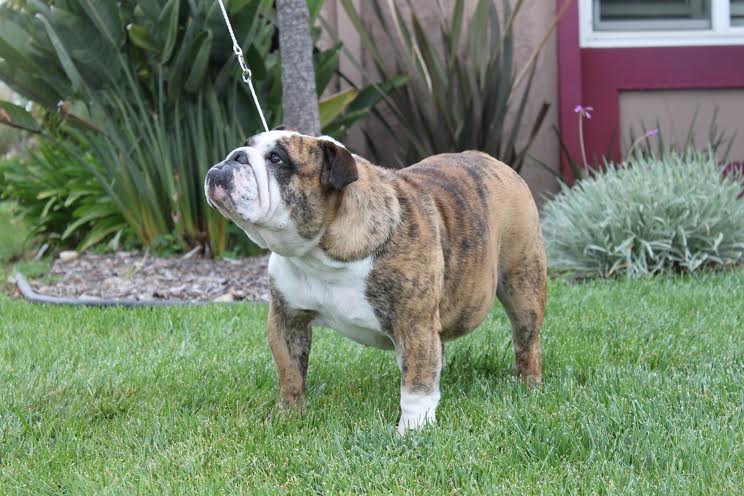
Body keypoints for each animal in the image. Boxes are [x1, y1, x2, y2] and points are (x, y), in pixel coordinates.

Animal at [204, 129, 547, 434]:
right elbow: (290, 372)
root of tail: (494, 162)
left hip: (522, 285)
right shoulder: (286, 319)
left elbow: (416, 385)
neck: (320, 253)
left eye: (277, 159)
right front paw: (288, 417)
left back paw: (528, 387)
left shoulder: (414, 325)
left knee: (526, 341)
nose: (234, 156)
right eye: (245, 145)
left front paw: (412, 431)